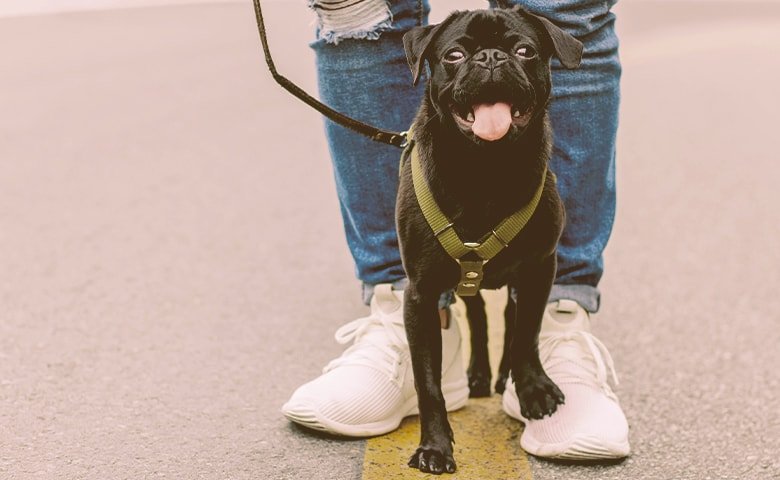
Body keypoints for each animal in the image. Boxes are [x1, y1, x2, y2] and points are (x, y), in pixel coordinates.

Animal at [400, 4, 580, 476]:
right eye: (454, 55)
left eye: (525, 51)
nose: (492, 58)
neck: (485, 168)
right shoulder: (420, 295)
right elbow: (428, 383)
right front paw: (435, 447)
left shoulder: (540, 267)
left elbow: (527, 333)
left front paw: (531, 387)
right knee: (478, 313)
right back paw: (479, 373)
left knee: (510, 318)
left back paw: (502, 376)